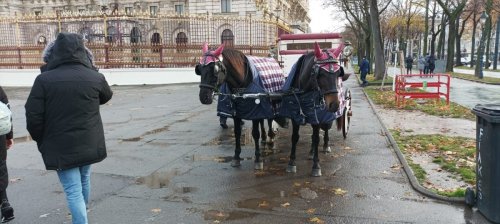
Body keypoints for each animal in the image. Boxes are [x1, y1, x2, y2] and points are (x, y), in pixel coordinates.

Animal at [282, 42, 344, 177]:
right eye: (320, 74)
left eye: (338, 73)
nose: (335, 105)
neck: (304, 92)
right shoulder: (295, 116)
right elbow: (295, 137)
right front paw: (291, 162)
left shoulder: (317, 116)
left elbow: (316, 138)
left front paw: (316, 165)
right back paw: (311, 152)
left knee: (325, 130)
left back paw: (325, 146)